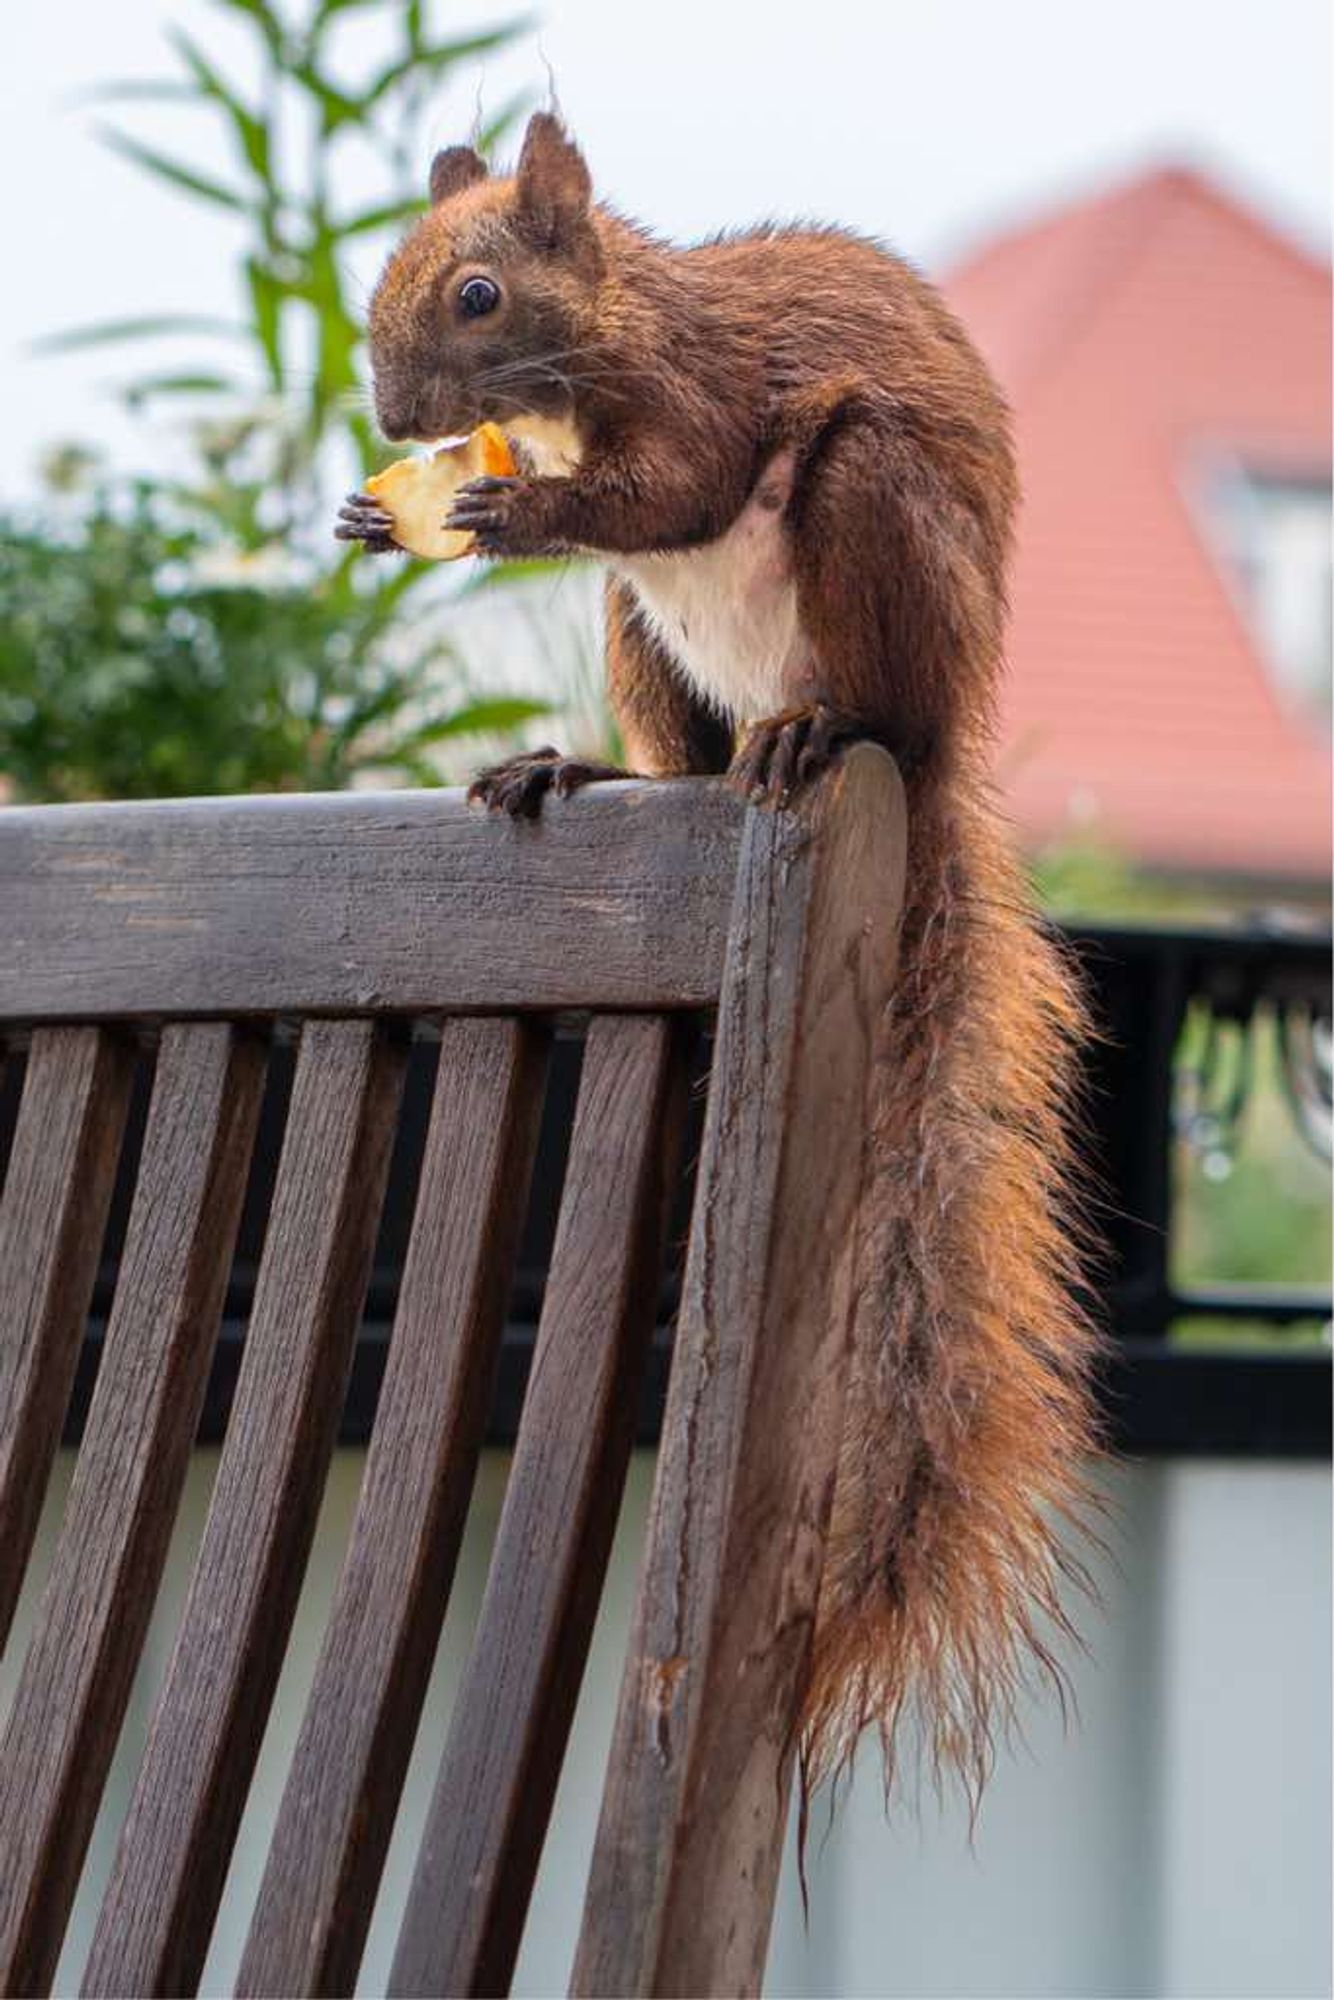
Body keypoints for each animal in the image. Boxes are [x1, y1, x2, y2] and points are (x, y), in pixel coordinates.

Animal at [340, 113, 1104, 1816]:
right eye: (381, 283)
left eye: (478, 294)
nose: (396, 421)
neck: (571, 380)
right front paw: (377, 520)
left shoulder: (695, 391)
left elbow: (669, 485)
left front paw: (516, 516)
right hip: (643, 643)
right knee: (678, 755)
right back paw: (583, 770)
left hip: (876, 522)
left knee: (859, 694)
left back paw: (822, 731)